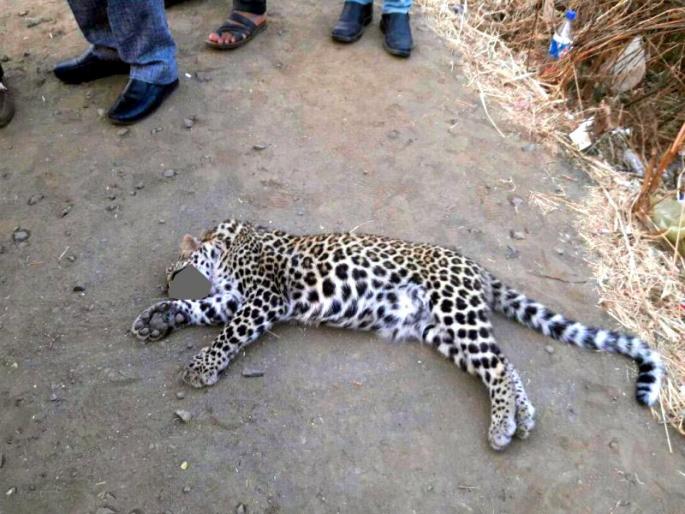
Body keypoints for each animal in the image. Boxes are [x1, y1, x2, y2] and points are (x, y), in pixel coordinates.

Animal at [131, 219, 664, 451]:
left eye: (174, 270)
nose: (166, 283)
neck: (226, 244)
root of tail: (473, 265)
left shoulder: (263, 299)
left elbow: (229, 332)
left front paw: (201, 365)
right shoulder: (232, 298)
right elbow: (200, 310)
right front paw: (156, 318)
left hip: (454, 309)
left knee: (496, 364)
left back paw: (501, 427)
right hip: (440, 329)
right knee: (502, 362)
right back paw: (522, 416)